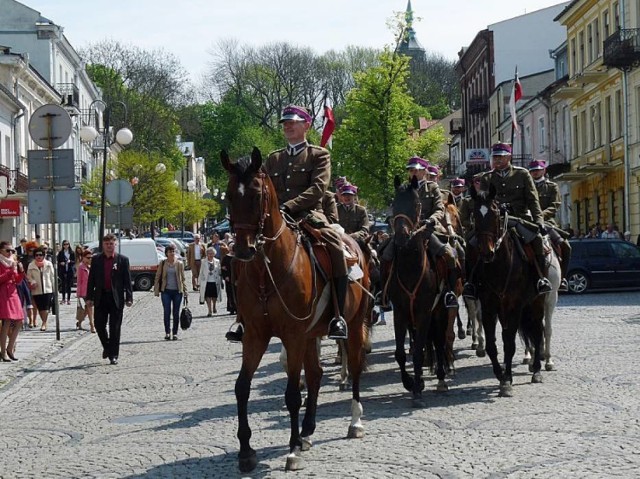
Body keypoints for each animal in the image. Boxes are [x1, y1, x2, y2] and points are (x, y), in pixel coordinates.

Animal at [221, 149, 372, 472]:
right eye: (229, 196)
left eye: (256, 195)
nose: (242, 251)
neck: (268, 272)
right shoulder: (256, 335)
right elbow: (242, 387)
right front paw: (246, 451)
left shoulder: (293, 334)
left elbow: (292, 393)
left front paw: (291, 451)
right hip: (311, 334)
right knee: (315, 375)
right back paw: (307, 433)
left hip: (352, 325)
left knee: (354, 366)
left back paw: (354, 422)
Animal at [384, 174, 450, 406]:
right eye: (394, 204)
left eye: (416, 204)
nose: (402, 237)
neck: (410, 267)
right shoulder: (400, 312)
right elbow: (400, 353)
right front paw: (410, 382)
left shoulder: (424, 312)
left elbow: (420, 352)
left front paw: (417, 392)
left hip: (440, 311)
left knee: (438, 342)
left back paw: (441, 379)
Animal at [468, 184, 544, 398]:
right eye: (475, 214)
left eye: (495, 213)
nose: (486, 252)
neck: (499, 266)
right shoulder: (489, 306)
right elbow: (492, 344)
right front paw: (500, 374)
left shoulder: (515, 306)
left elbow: (509, 343)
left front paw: (507, 380)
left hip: (537, 302)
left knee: (538, 331)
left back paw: (537, 370)